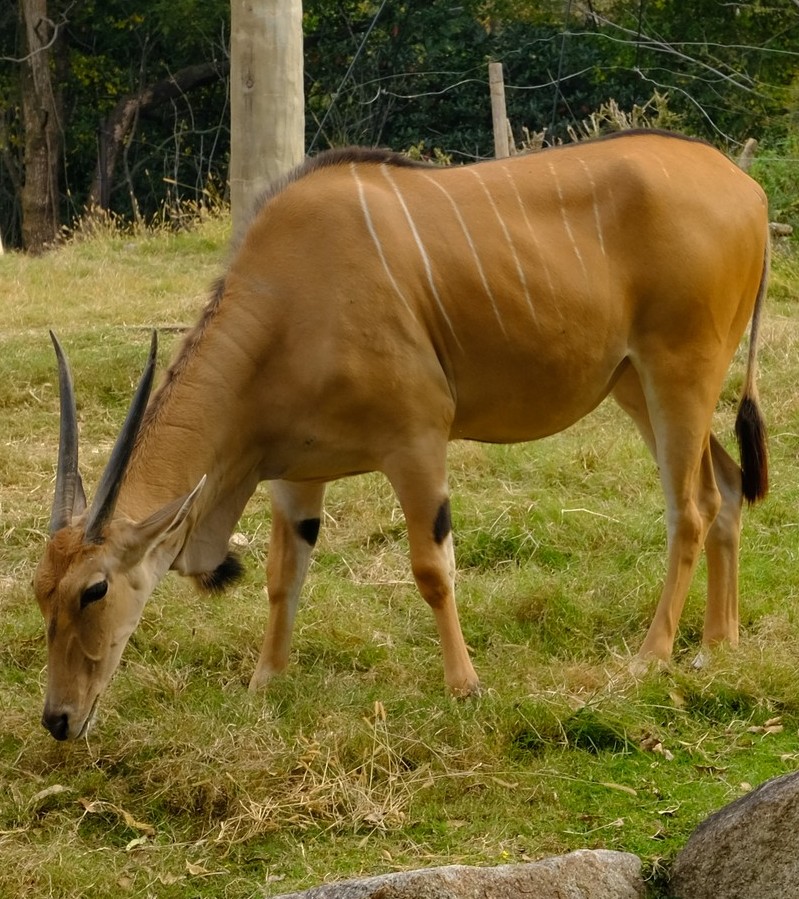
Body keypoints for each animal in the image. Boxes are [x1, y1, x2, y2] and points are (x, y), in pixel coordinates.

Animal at [32, 132, 768, 740]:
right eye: (40, 590)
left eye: (93, 589)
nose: (59, 719)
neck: (287, 298)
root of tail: (747, 189)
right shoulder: (295, 476)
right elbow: (282, 577)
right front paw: (264, 682)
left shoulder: (416, 441)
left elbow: (432, 569)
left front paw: (465, 686)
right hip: (637, 385)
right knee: (727, 489)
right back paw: (717, 646)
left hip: (678, 374)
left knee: (689, 508)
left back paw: (651, 656)